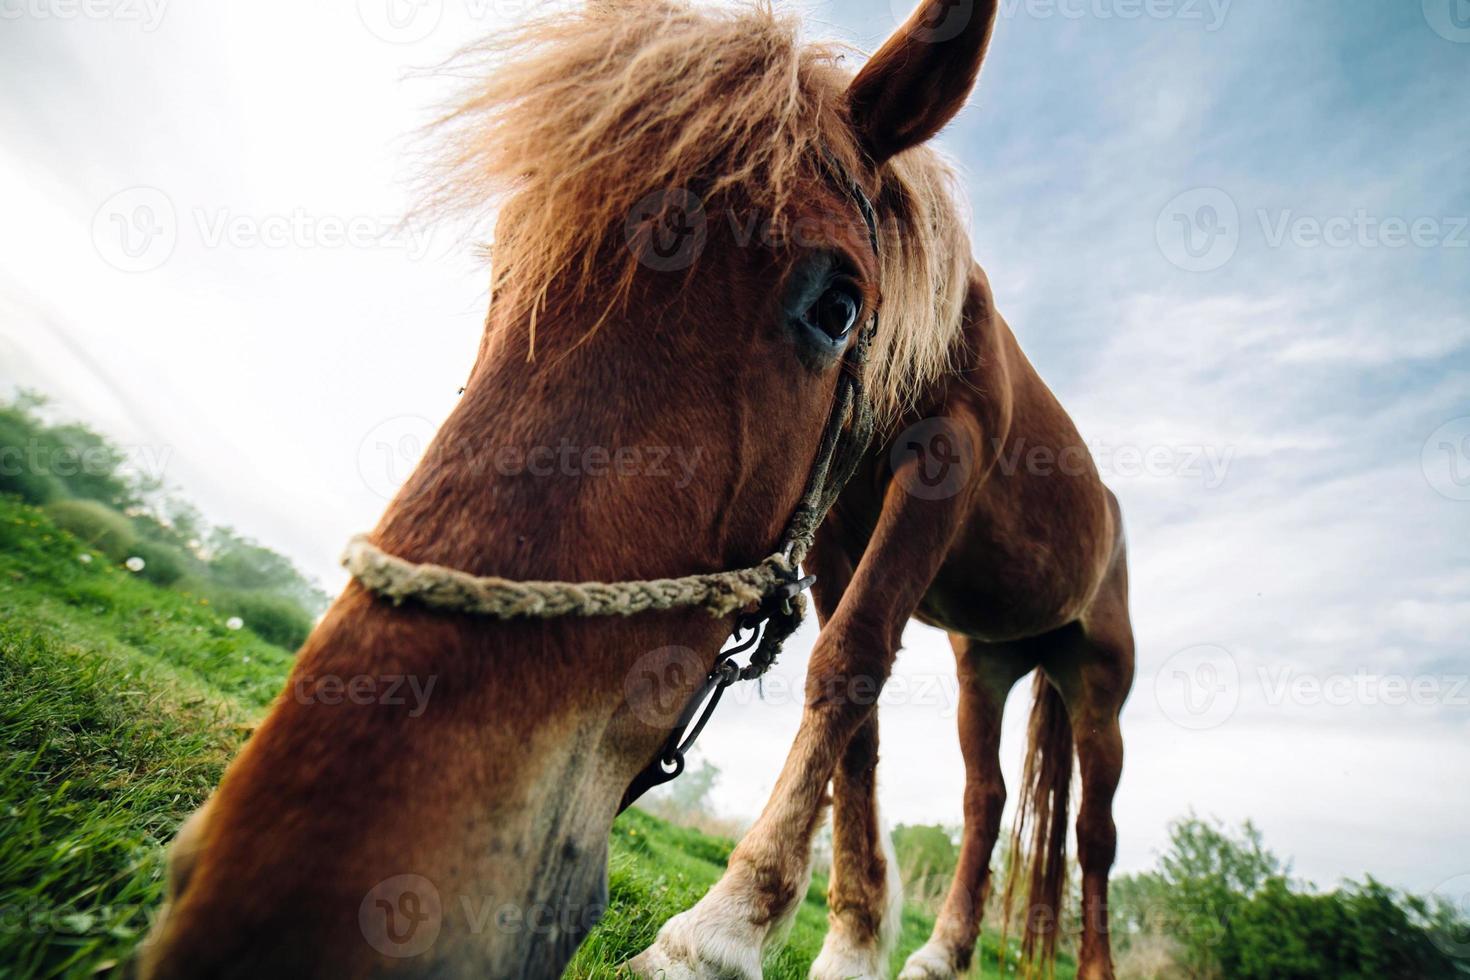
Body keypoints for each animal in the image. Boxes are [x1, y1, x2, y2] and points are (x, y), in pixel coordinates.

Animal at [138, 1, 1128, 980]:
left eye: (838, 308)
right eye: (506, 257)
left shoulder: (946, 460)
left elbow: (849, 664)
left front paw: (726, 931)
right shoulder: (839, 526)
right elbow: (861, 713)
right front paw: (851, 940)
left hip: (1097, 685)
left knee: (1092, 833)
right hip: (983, 664)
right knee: (985, 799)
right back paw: (941, 952)